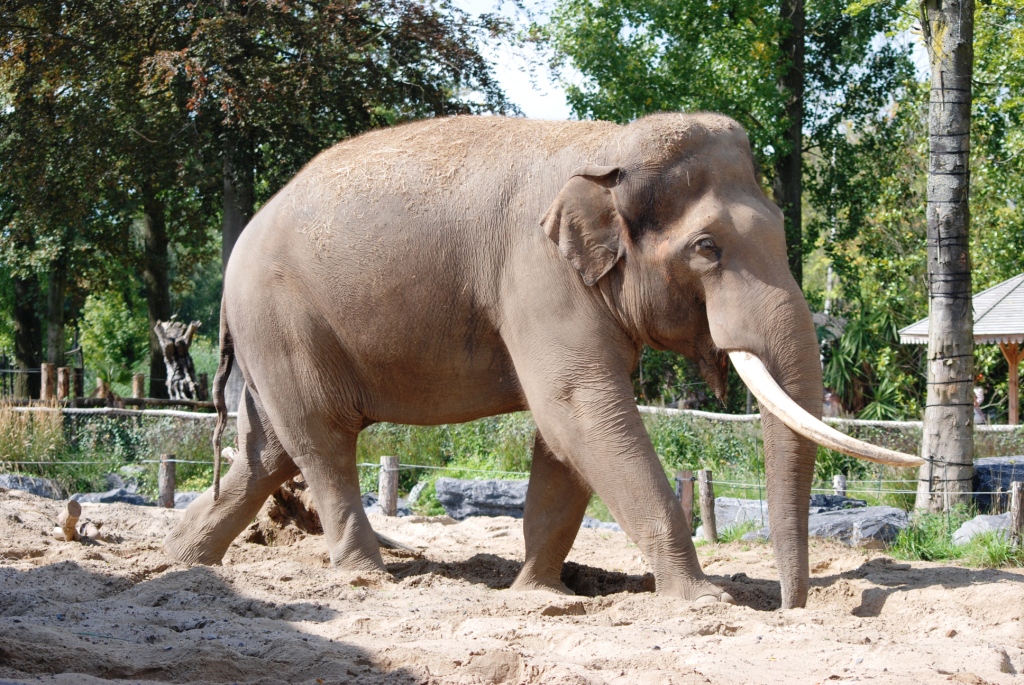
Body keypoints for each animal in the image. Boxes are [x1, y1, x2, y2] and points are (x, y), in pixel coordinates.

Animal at [164, 113, 921, 609]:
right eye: (707, 248)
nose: (792, 606)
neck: (605, 146)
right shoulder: (536, 272)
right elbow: (582, 410)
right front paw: (702, 600)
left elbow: (566, 438)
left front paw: (539, 590)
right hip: (284, 323)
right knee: (322, 441)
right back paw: (363, 576)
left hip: (273, 340)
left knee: (267, 450)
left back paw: (183, 561)